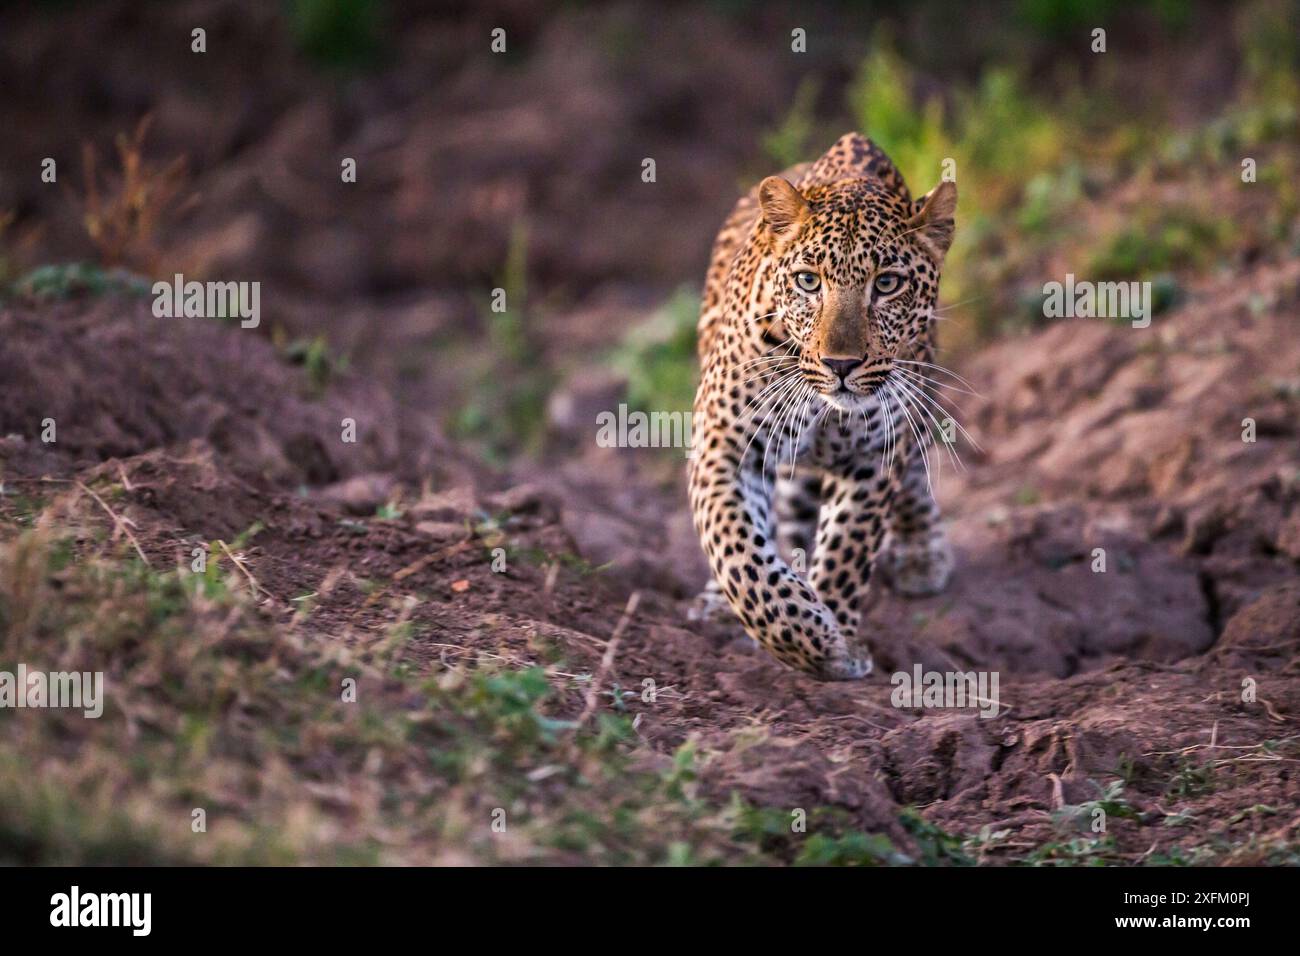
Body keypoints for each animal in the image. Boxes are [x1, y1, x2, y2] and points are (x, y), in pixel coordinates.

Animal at [687, 132, 961, 681]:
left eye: (887, 283)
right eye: (809, 281)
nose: (841, 364)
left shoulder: (873, 458)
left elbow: (846, 547)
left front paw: (834, 638)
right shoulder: (724, 445)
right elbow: (737, 549)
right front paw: (808, 639)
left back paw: (921, 551)